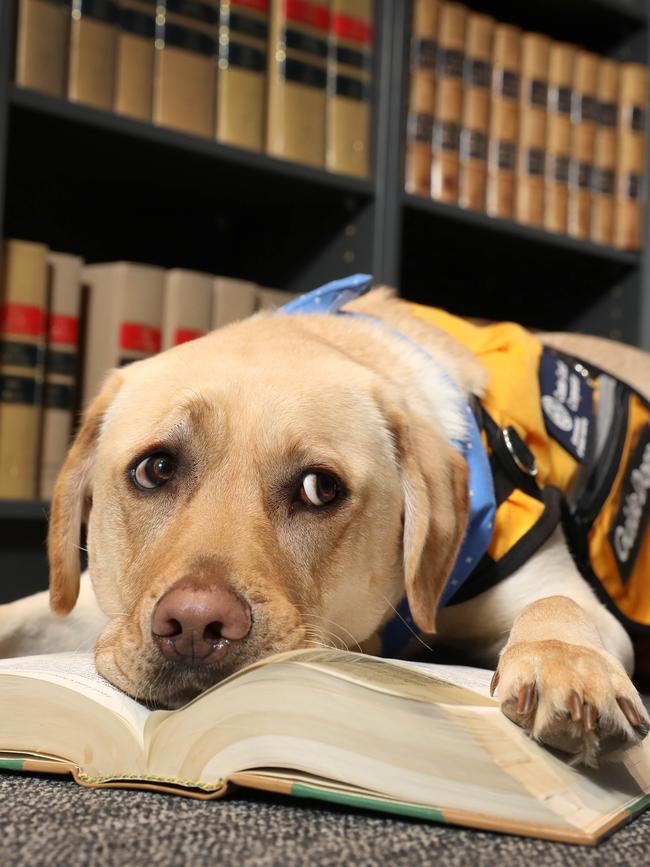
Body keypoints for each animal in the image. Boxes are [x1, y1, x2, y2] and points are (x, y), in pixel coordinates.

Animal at [1, 276, 648, 768]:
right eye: (156, 469)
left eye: (319, 489)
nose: (195, 625)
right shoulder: (96, 605)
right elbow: (20, 614)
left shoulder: (551, 584)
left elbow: (556, 606)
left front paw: (569, 667)